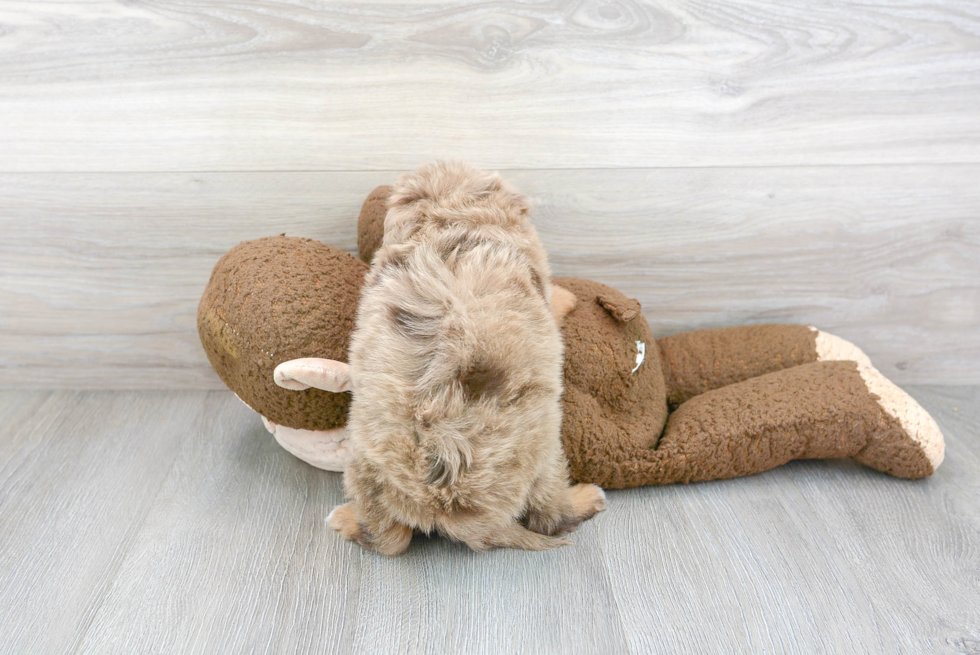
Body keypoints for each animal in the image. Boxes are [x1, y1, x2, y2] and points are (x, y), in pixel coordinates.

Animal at [330, 161, 604, 556]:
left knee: (390, 539)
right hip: (547, 460)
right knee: (551, 516)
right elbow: (553, 296)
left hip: (365, 472)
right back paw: (586, 498)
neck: (447, 215)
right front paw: (567, 298)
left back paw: (347, 519)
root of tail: (446, 503)